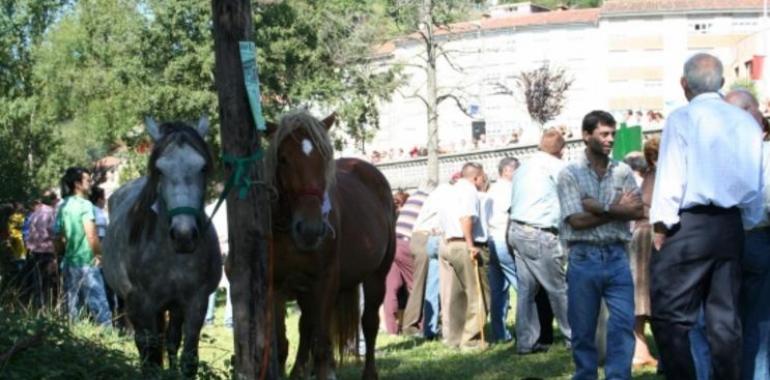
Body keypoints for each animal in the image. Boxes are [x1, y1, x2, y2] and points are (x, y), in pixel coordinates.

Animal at [102, 118, 222, 378]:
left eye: (203, 168)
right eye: (159, 170)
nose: (184, 235)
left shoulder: (196, 302)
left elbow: (188, 357)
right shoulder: (143, 304)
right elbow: (151, 356)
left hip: (171, 308)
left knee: (170, 340)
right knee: (145, 344)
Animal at [266, 110, 396, 380]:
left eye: (323, 158)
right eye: (283, 159)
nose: (311, 228)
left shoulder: (326, 280)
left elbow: (322, 344)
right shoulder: (276, 284)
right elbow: (281, 345)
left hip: (377, 275)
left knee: (369, 323)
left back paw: (368, 372)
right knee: (306, 326)